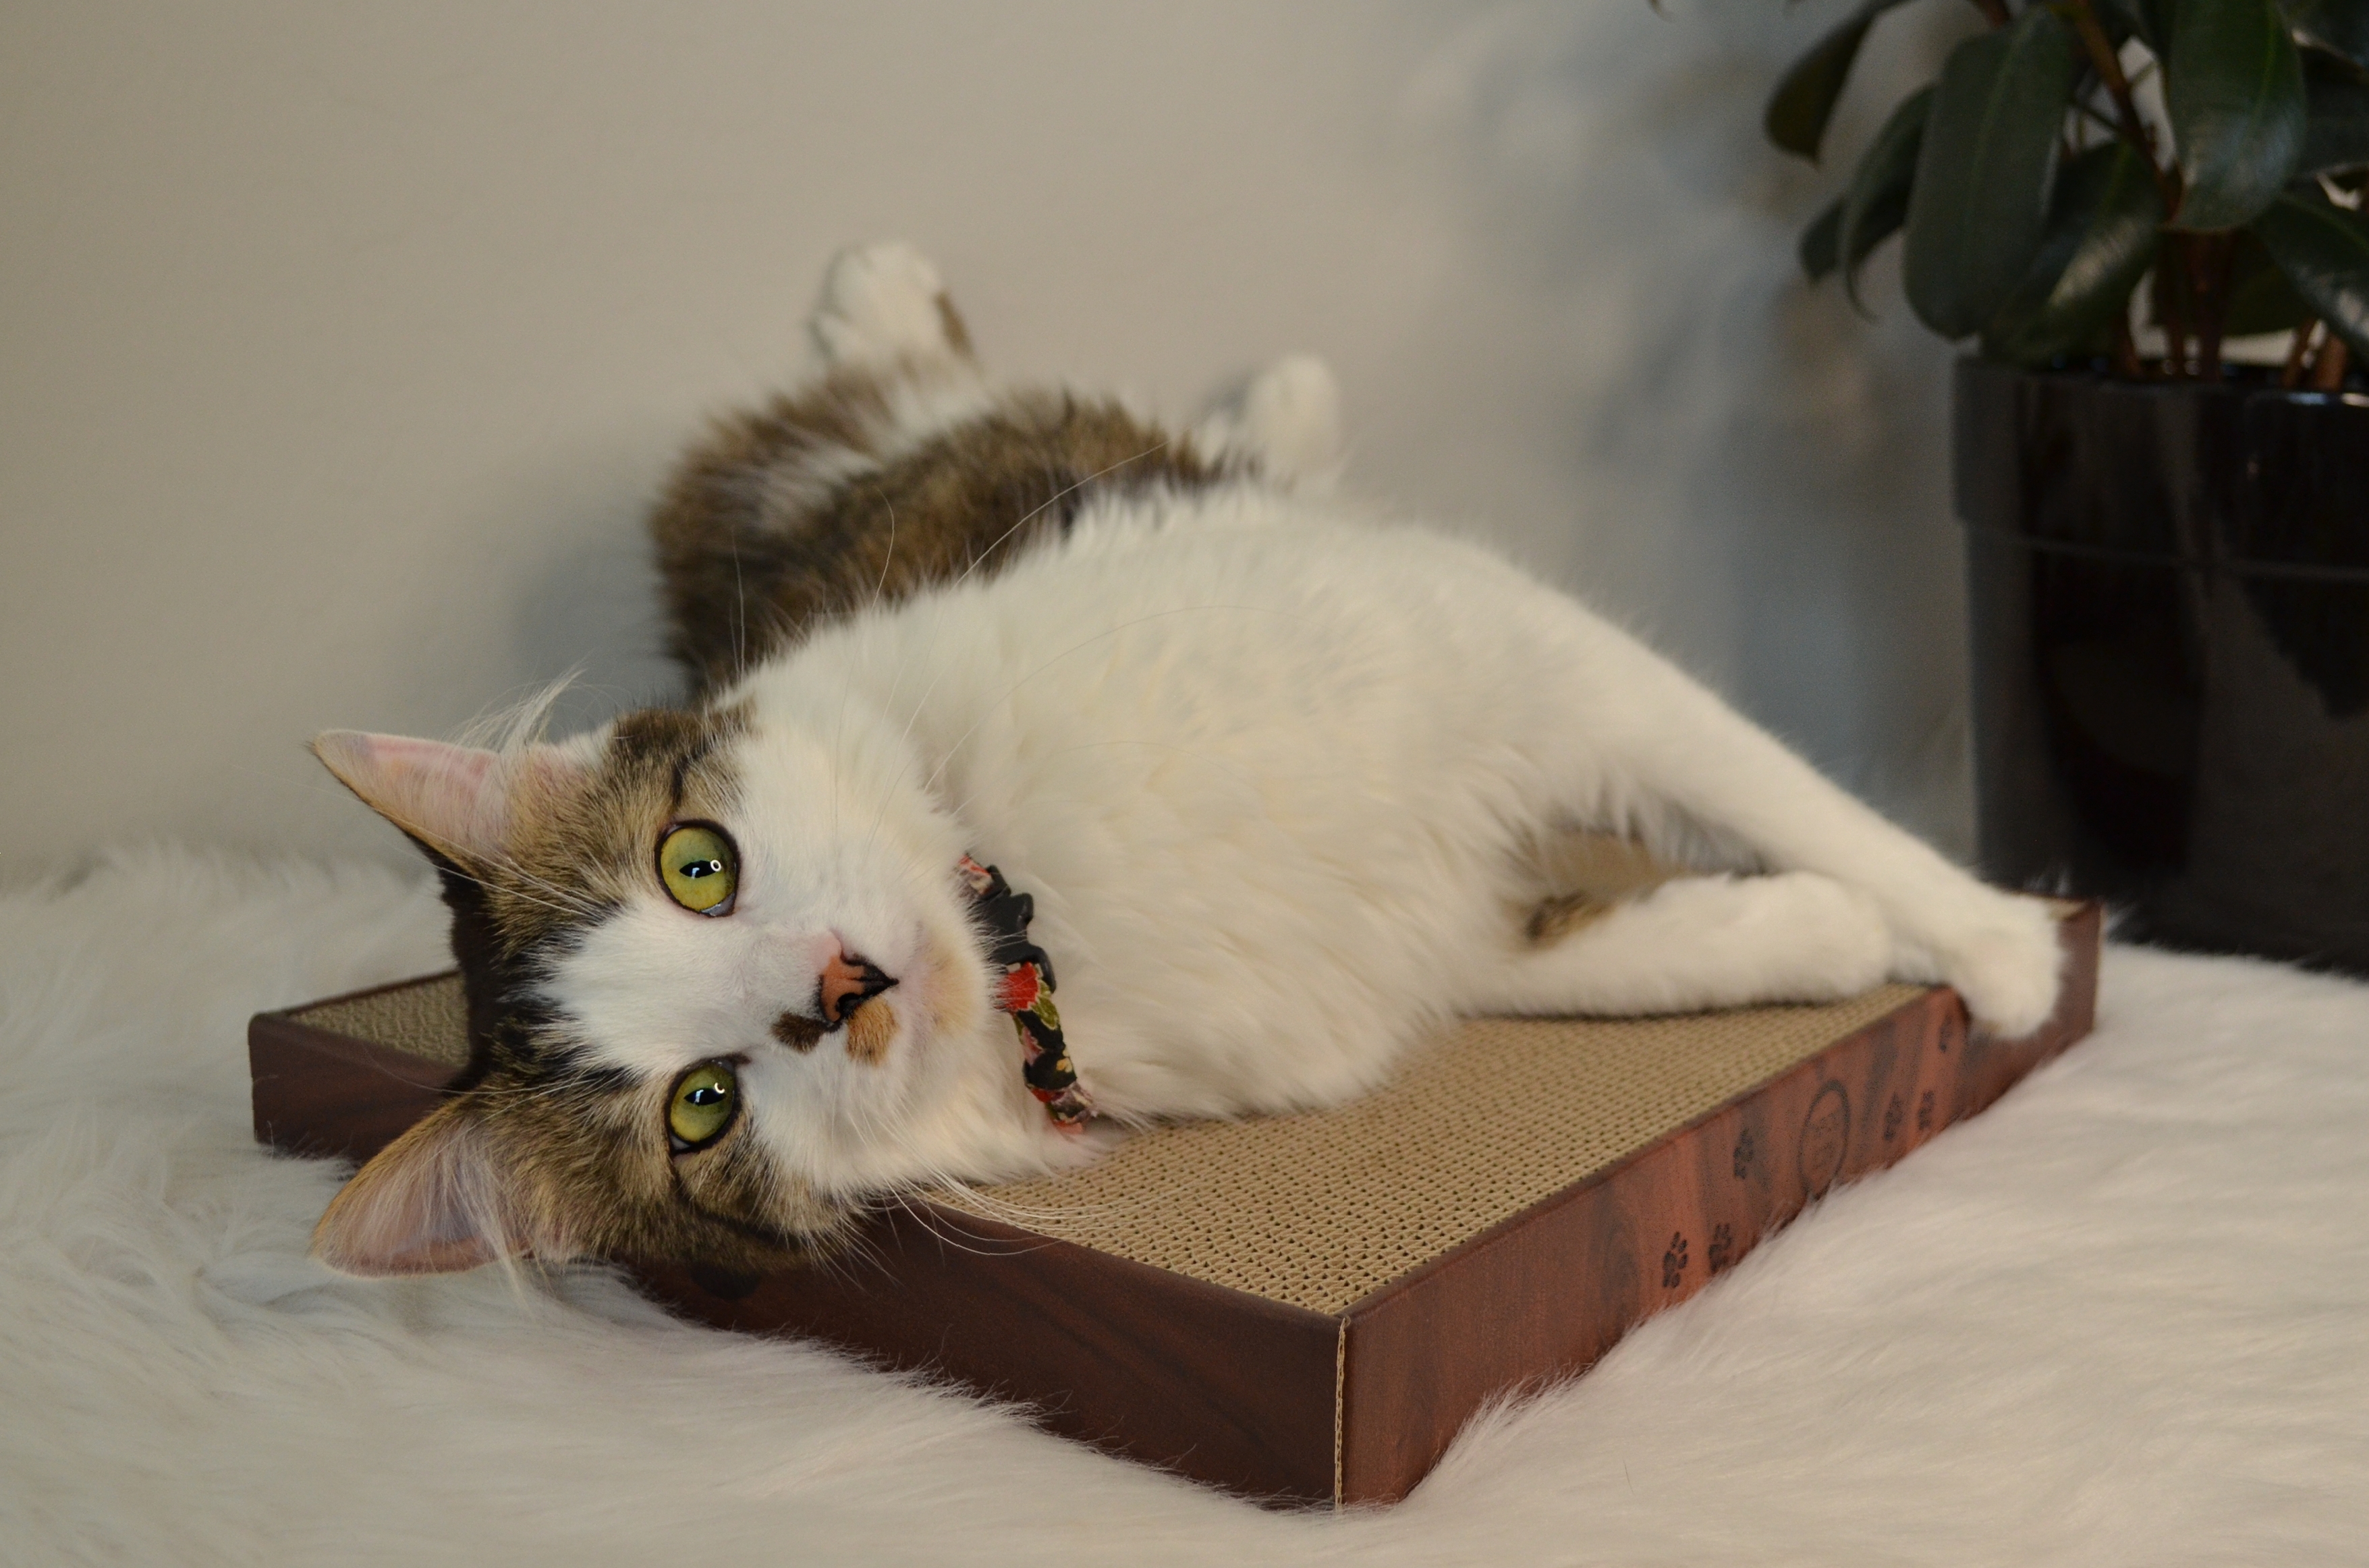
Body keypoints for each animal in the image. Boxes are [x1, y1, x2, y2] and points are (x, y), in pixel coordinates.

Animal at [310, 242, 2056, 1279]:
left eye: (698, 863)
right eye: (700, 1108)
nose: (839, 986)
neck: (1030, 894)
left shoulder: (1511, 649)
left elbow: (1791, 791)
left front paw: (2002, 950)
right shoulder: (1423, 939)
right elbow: (1626, 949)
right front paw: (1823, 933)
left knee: (935, 379)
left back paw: (921, 303)